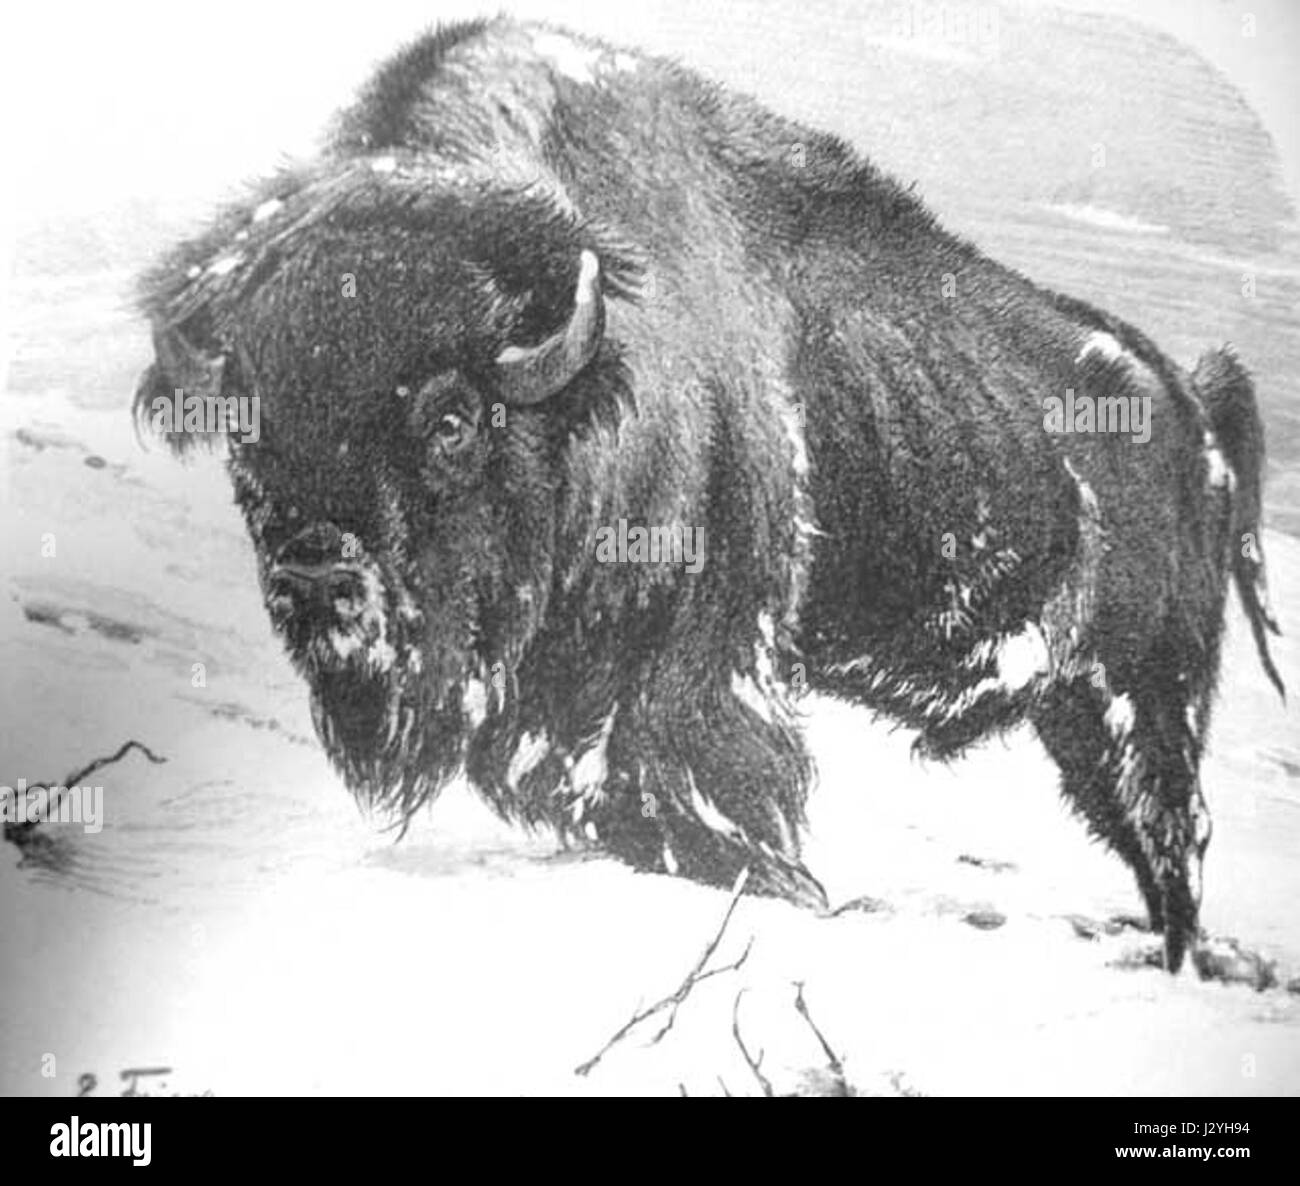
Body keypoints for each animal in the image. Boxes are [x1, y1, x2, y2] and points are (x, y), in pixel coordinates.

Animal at [135, 17, 1282, 971]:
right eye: (250, 430)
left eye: (451, 419)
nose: (318, 576)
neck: (595, 374)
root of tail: (1192, 404)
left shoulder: (705, 651)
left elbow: (703, 778)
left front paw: (786, 885)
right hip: (1075, 707)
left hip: (1145, 689)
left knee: (1171, 833)